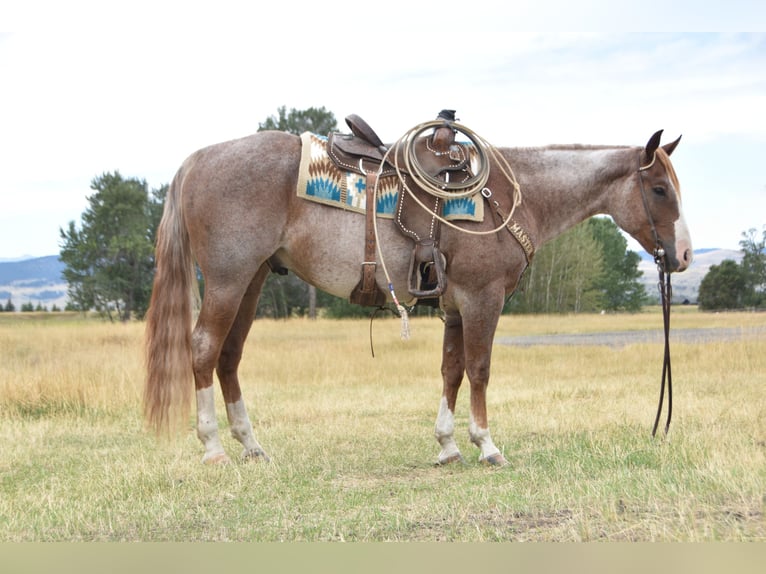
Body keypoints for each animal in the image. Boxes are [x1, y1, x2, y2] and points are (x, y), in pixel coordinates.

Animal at [143, 119, 692, 466]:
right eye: (660, 189)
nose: (684, 255)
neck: (511, 195)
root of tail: (197, 160)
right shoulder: (482, 299)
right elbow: (479, 369)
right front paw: (486, 445)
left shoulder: (455, 306)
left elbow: (451, 370)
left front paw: (447, 446)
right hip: (228, 280)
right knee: (203, 350)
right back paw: (213, 448)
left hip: (252, 279)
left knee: (229, 356)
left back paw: (252, 446)